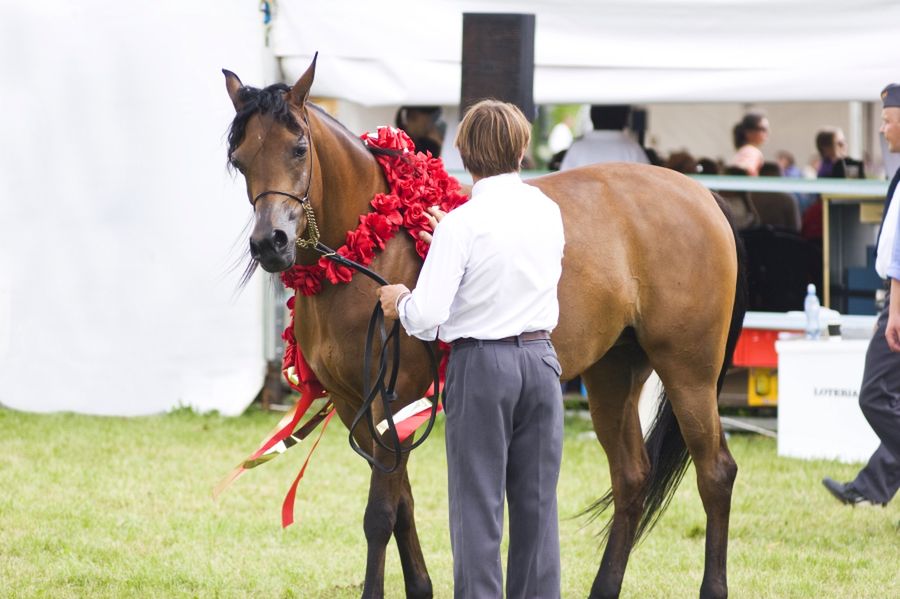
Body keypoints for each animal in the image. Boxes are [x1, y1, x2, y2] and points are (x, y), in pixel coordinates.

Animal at [223, 58, 744, 599]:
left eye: (298, 147)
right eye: (240, 159)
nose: (270, 243)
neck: (371, 251)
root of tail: (702, 195)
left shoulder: (393, 400)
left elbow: (381, 514)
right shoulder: (357, 407)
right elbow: (403, 506)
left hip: (688, 373)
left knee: (715, 473)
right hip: (613, 373)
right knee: (632, 477)